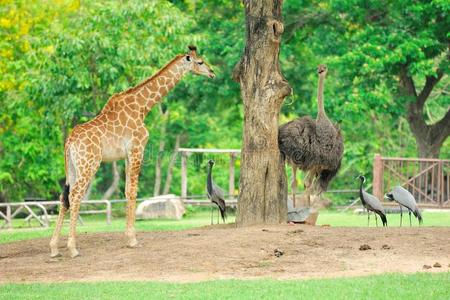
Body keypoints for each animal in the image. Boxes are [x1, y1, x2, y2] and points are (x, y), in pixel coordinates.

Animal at [50, 45, 215, 256]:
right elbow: (134, 191)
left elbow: (127, 190)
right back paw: (72, 248)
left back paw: (54, 248)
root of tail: (69, 142)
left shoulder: (127, 155)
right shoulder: (137, 149)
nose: (212, 73)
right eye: (200, 61)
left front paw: (128, 237)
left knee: (64, 196)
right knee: (75, 195)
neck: (142, 107)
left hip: (71, 166)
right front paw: (133, 239)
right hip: (89, 164)